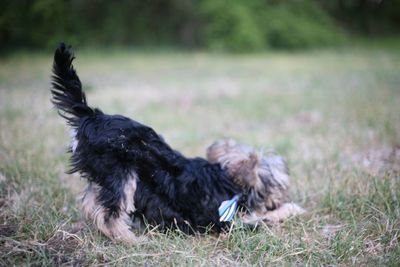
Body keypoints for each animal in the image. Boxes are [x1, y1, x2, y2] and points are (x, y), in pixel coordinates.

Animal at [50, 43, 304, 243]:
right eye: (280, 185)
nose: (282, 196)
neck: (226, 179)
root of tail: (91, 115)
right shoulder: (229, 222)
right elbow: (266, 217)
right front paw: (292, 208)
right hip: (121, 173)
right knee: (109, 214)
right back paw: (130, 240)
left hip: (104, 175)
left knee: (91, 203)